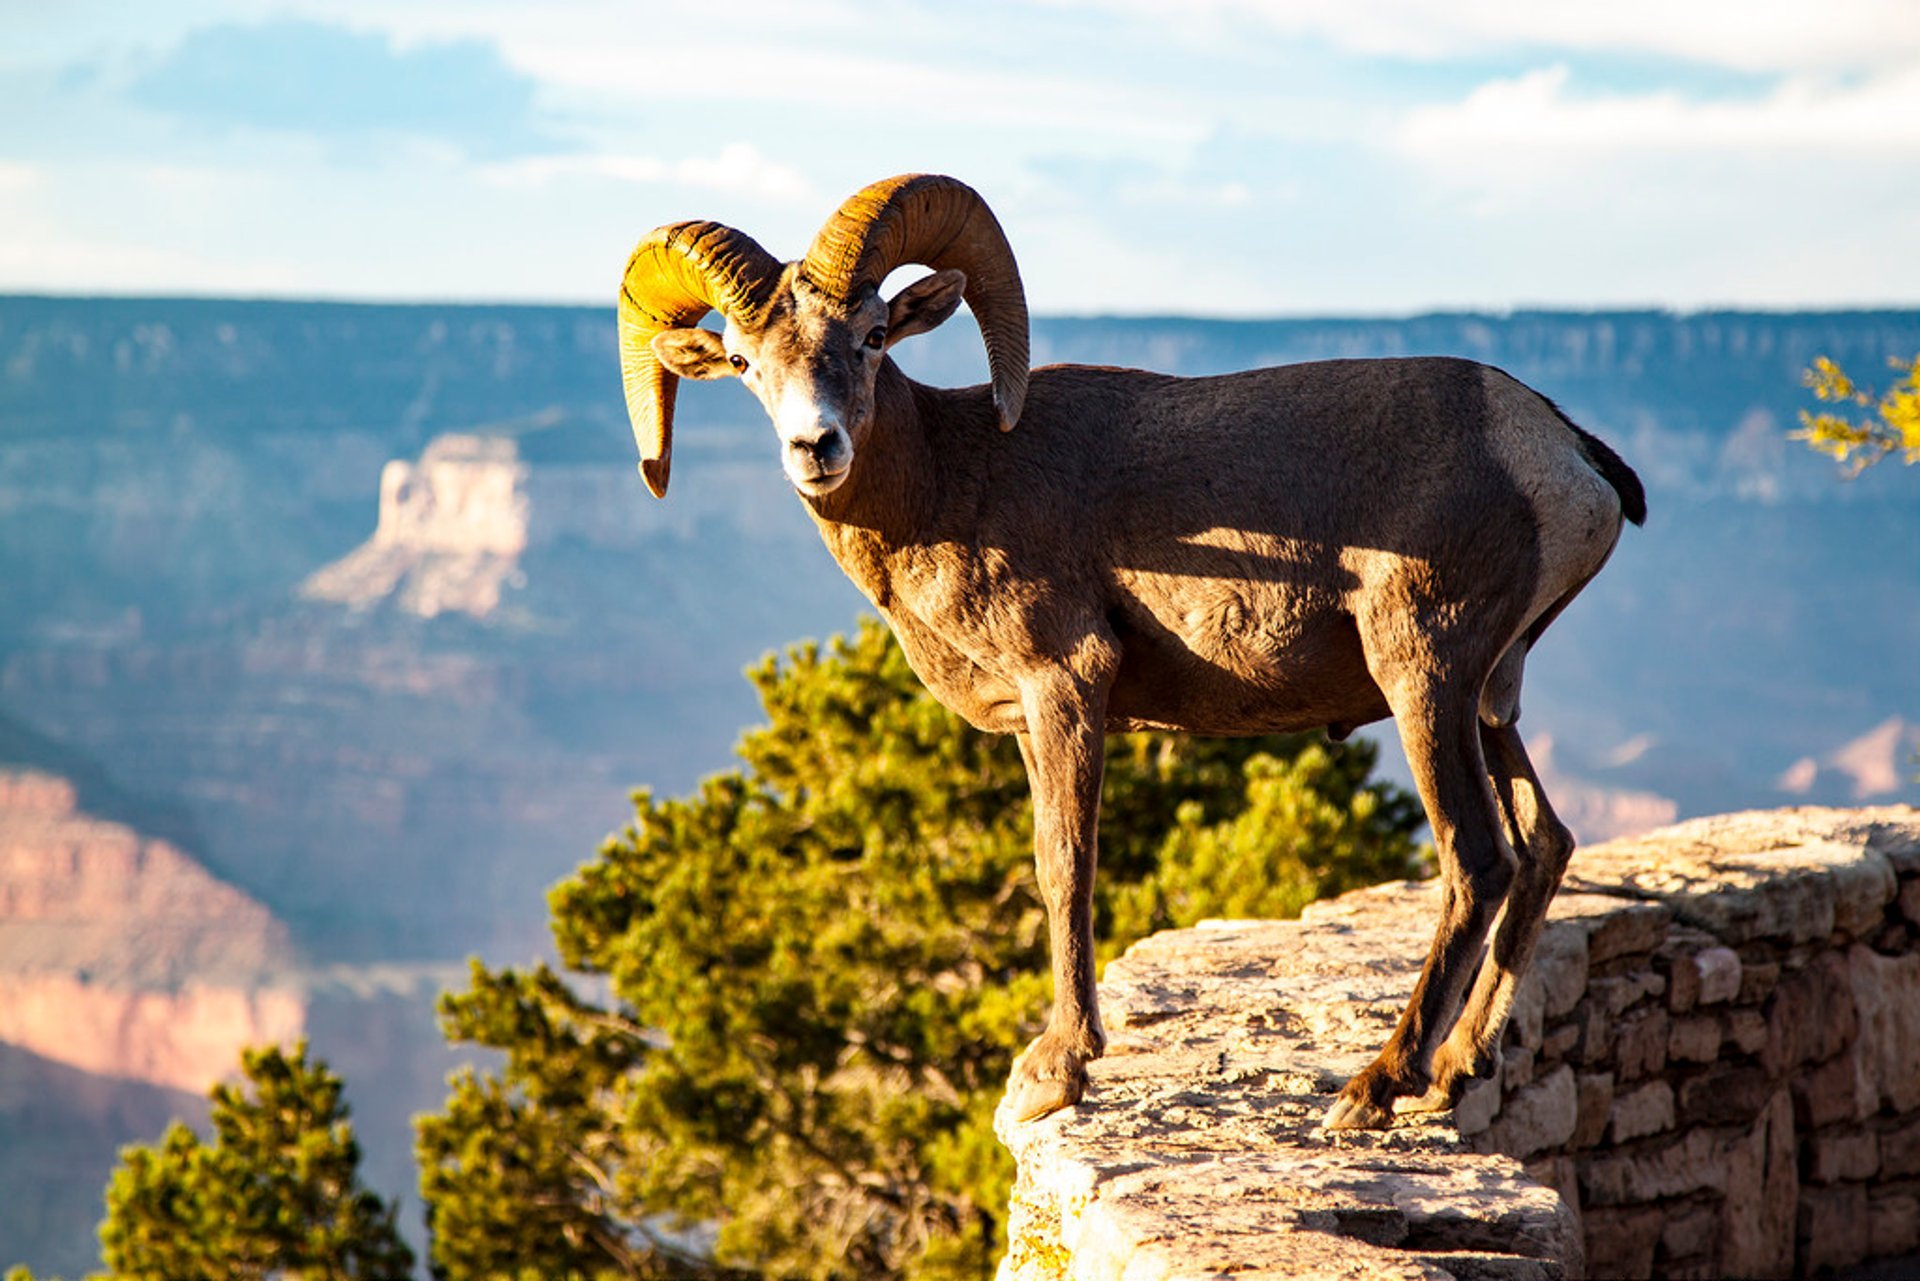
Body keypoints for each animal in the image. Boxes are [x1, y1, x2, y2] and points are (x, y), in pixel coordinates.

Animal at [622, 175, 1643, 1129]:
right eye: (744, 361)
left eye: (874, 335)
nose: (815, 446)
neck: (952, 480)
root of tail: (1559, 452)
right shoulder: (1029, 722)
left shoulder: (1067, 687)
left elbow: (1066, 861)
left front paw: (1059, 1070)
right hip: (1489, 698)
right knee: (1544, 844)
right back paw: (1457, 1068)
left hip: (1424, 679)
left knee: (1479, 857)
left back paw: (1375, 1087)